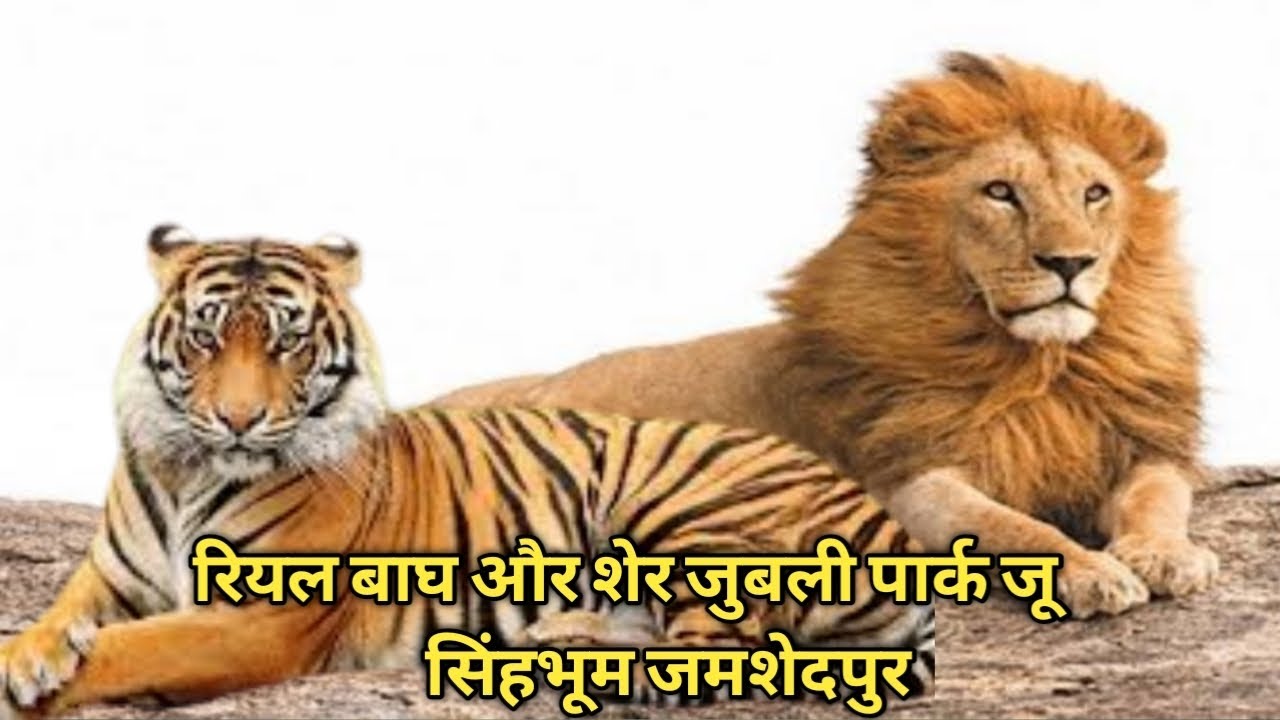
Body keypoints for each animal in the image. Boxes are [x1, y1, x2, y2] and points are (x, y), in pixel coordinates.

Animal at [0, 226, 933, 717]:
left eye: (287, 343)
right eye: (205, 337)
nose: (238, 419)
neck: (189, 471)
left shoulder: (255, 618)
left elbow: (128, 650)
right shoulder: (110, 577)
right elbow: (62, 622)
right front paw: (30, 655)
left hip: (684, 502)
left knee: (713, 652)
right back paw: (562, 636)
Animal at [438, 52, 1218, 619]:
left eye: (1095, 193)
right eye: (1000, 192)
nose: (1070, 263)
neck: (1036, 365)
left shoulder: (1137, 445)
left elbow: (1157, 499)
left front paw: (1167, 554)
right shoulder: (911, 478)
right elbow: (1018, 529)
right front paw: (1091, 572)